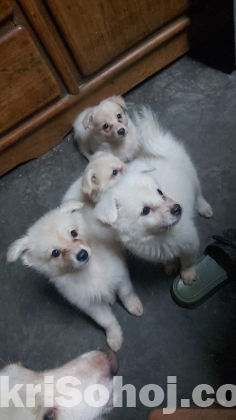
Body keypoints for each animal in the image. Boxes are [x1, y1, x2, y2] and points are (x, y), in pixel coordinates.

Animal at [7, 200, 143, 352]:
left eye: (73, 233)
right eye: (55, 253)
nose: (82, 255)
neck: (90, 271)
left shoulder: (120, 276)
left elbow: (127, 294)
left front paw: (134, 306)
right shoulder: (90, 305)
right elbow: (107, 321)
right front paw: (114, 336)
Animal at [95, 108, 213, 286]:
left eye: (160, 191)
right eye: (145, 210)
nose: (178, 209)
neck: (158, 236)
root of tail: (157, 138)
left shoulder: (190, 242)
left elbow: (187, 261)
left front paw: (187, 275)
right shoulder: (155, 253)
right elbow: (167, 259)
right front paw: (170, 266)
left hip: (191, 174)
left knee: (198, 192)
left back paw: (204, 207)